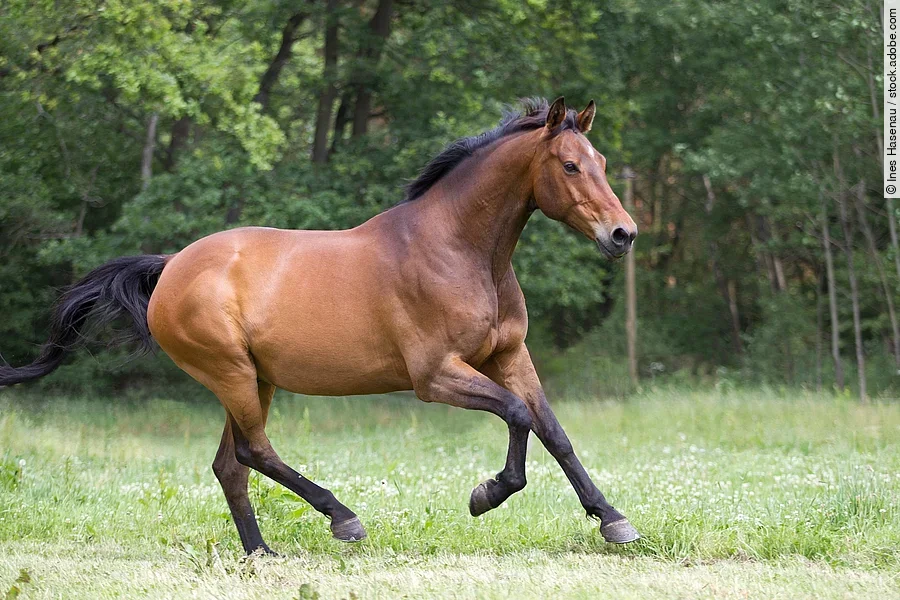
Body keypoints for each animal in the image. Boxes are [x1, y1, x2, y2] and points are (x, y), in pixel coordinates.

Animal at [0, 97, 639, 554]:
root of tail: (171, 266)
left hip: (254, 379)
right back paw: (343, 519)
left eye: (605, 165)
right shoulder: (435, 376)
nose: (623, 235)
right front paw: (486, 495)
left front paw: (613, 520)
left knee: (230, 465)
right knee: (255, 452)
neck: (460, 250)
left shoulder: (509, 356)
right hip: (232, 374)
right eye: (569, 165)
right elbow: (517, 415)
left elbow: (553, 430)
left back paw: (262, 553)